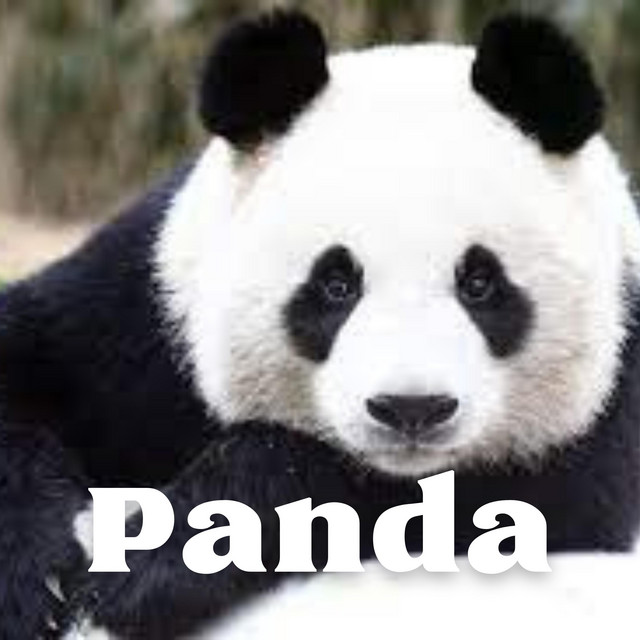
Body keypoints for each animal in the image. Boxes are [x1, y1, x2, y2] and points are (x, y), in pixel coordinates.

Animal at [1, 8, 640, 640]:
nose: (412, 410)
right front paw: (36, 579)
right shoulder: (143, 312)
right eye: (336, 284)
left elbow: (492, 511)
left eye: (480, 283)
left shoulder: (608, 410)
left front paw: (149, 573)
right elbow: (31, 356)